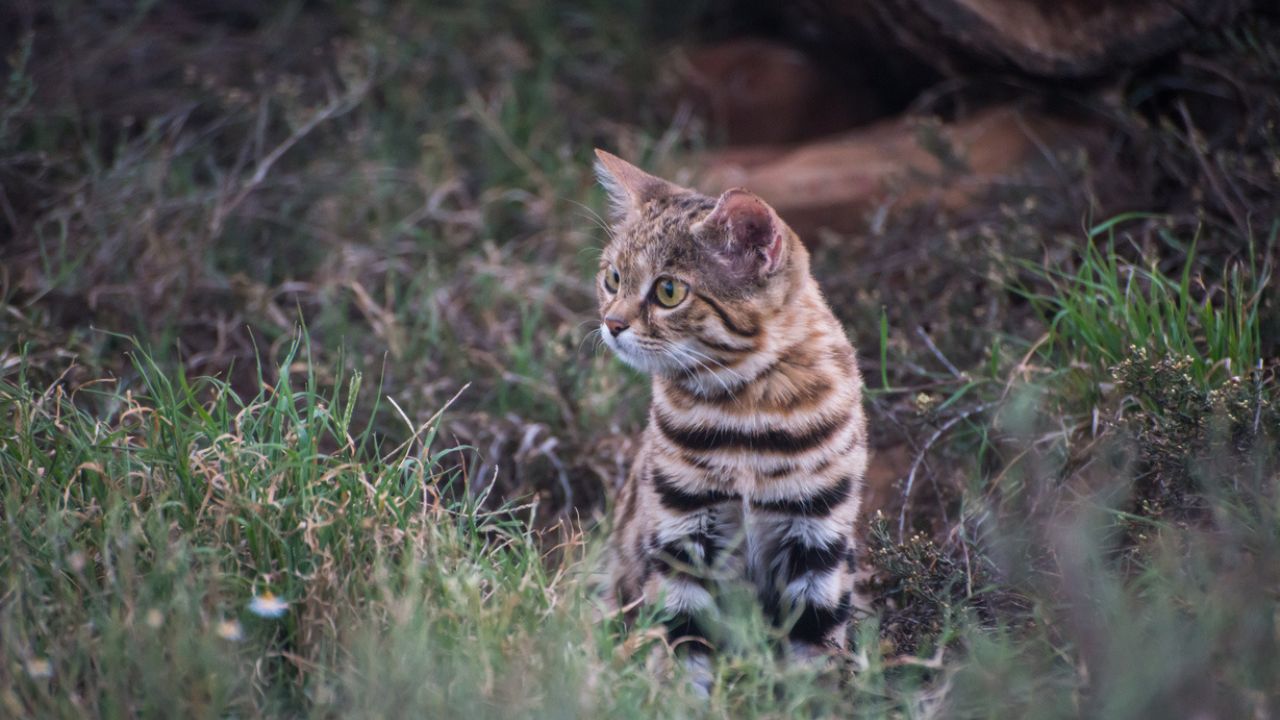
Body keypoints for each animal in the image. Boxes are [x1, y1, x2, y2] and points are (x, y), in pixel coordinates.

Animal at [593, 148, 865, 661]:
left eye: (669, 291)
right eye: (612, 278)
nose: (611, 324)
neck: (746, 412)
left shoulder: (818, 541)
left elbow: (817, 657)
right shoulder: (681, 535)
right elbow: (682, 649)